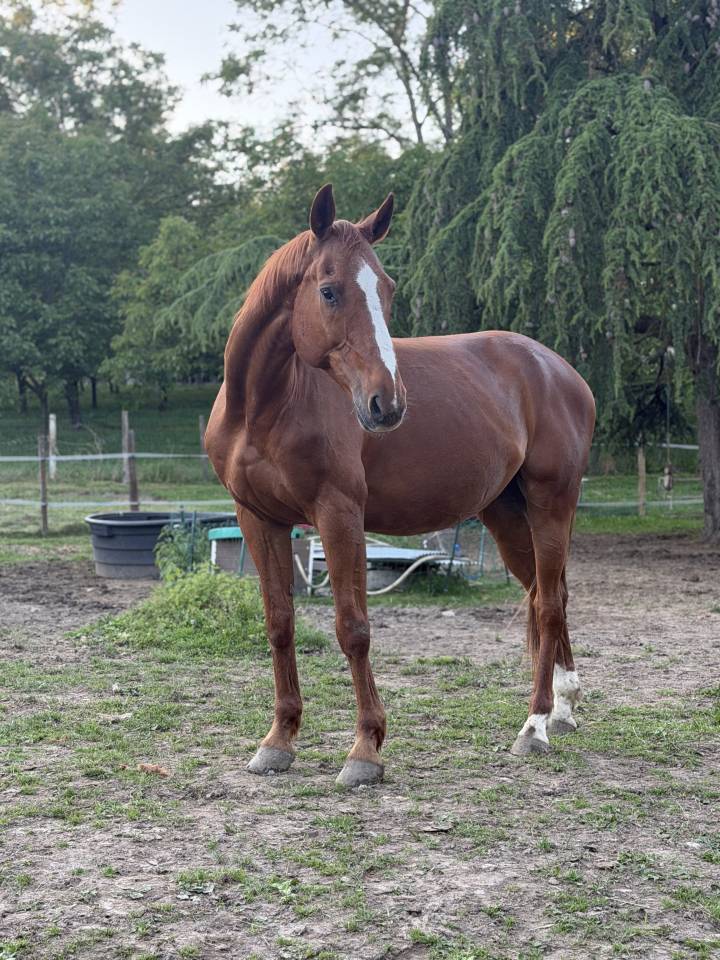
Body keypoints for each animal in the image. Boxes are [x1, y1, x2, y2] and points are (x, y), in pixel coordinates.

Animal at [205, 184, 595, 788]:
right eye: (329, 291)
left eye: (386, 289)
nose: (385, 404)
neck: (265, 406)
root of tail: (560, 371)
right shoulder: (257, 517)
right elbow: (279, 624)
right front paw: (279, 740)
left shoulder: (339, 515)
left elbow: (353, 628)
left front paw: (365, 750)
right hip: (505, 515)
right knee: (542, 596)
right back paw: (564, 708)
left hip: (553, 503)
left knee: (550, 603)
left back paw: (534, 727)